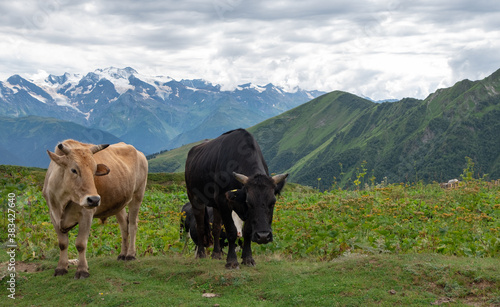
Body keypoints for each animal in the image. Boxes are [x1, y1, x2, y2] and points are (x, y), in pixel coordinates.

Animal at [42, 141, 147, 280]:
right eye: (74, 170)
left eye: (94, 171)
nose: (94, 200)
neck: (63, 200)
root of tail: (139, 153)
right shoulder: (53, 215)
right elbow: (62, 243)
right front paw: (61, 268)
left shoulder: (86, 215)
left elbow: (81, 244)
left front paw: (82, 270)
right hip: (119, 204)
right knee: (124, 226)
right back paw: (122, 254)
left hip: (137, 196)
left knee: (133, 225)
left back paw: (130, 254)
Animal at [185, 129, 288, 268]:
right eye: (249, 203)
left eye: (273, 202)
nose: (263, 236)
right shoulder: (223, 201)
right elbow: (231, 231)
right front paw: (232, 261)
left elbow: (247, 231)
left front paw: (248, 258)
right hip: (195, 199)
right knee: (200, 226)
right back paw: (201, 254)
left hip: (215, 206)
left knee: (216, 228)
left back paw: (216, 254)